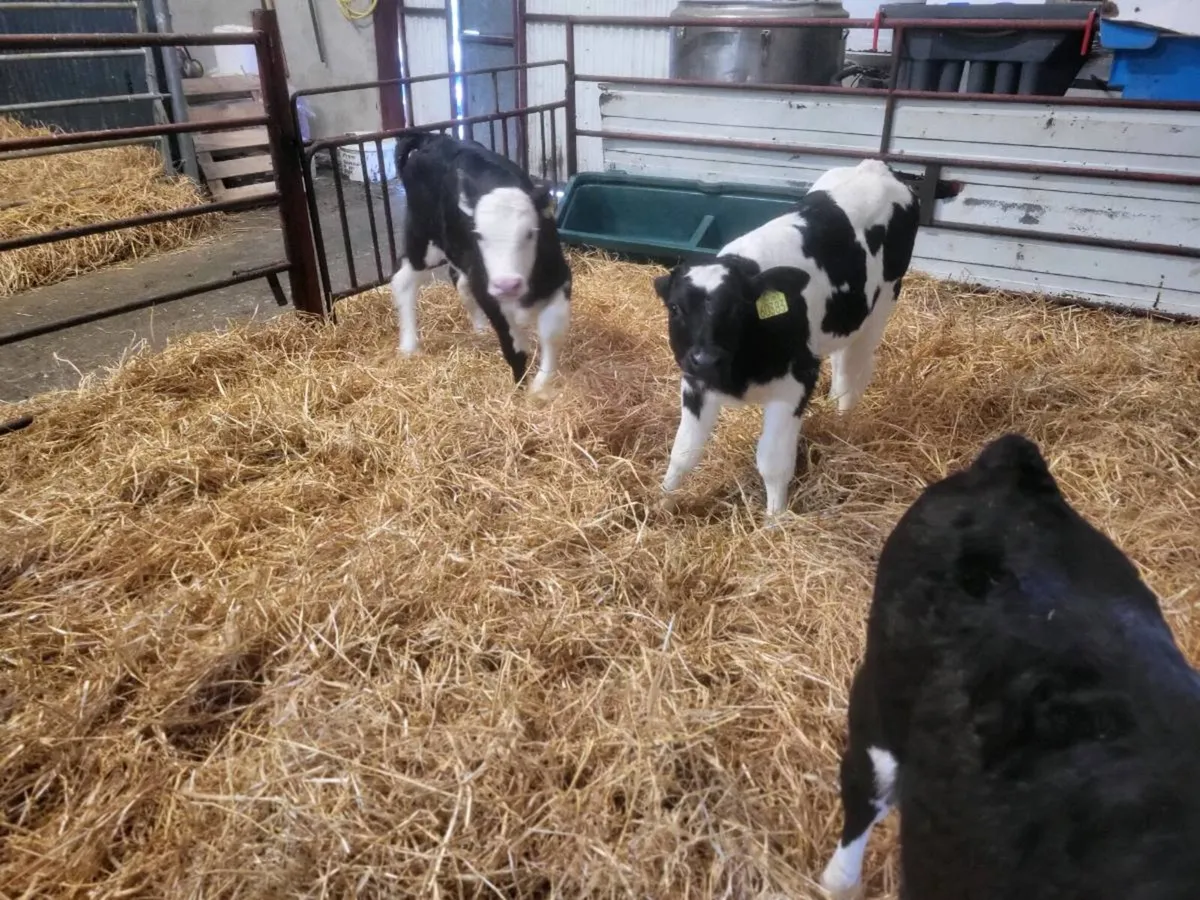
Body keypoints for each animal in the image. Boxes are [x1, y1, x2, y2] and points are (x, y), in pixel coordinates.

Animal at [389, 131, 572, 394]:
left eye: (530, 233)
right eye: (479, 235)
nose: (507, 284)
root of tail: (433, 139)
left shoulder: (561, 278)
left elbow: (552, 330)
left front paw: (540, 386)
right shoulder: (489, 294)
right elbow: (514, 348)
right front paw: (520, 389)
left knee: (459, 281)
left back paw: (480, 329)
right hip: (422, 237)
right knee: (403, 279)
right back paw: (409, 346)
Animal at [653, 159, 964, 516]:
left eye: (739, 307)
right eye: (675, 307)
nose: (706, 359)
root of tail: (880, 166)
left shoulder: (798, 379)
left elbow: (772, 462)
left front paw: (774, 519)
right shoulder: (694, 383)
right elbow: (683, 452)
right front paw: (661, 502)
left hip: (883, 301)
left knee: (855, 369)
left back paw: (843, 421)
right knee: (841, 360)